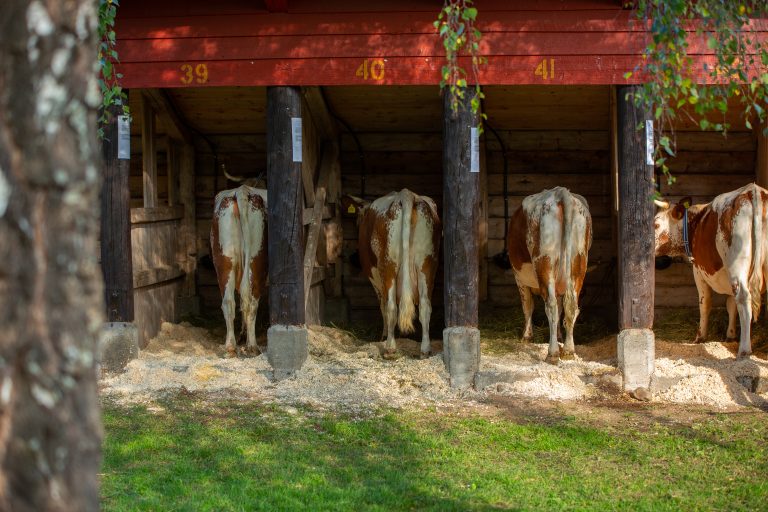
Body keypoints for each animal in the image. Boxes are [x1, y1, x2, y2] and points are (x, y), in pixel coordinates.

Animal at [212, 184, 268, 356]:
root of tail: (243, 190)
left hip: (224, 261)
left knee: (229, 301)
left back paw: (230, 347)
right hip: (257, 261)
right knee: (252, 301)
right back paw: (252, 346)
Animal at [344, 188, 440, 356]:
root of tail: (407, 194)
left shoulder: (374, 277)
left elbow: (383, 305)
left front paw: (383, 336)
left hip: (389, 265)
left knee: (390, 306)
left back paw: (390, 347)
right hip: (427, 265)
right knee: (424, 306)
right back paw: (425, 348)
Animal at [510, 186, 592, 362]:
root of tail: (560, 192)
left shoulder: (519, 278)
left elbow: (527, 305)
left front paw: (526, 336)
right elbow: (562, 308)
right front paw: (560, 336)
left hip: (544, 261)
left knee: (551, 305)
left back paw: (552, 353)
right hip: (579, 263)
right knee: (571, 306)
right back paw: (568, 350)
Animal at [656, 183, 768, 356]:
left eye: (655, 225)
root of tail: (754, 190)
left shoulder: (698, 270)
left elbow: (705, 303)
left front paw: (700, 337)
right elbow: (731, 304)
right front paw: (730, 335)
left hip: (737, 264)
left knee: (743, 297)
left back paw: (744, 349)